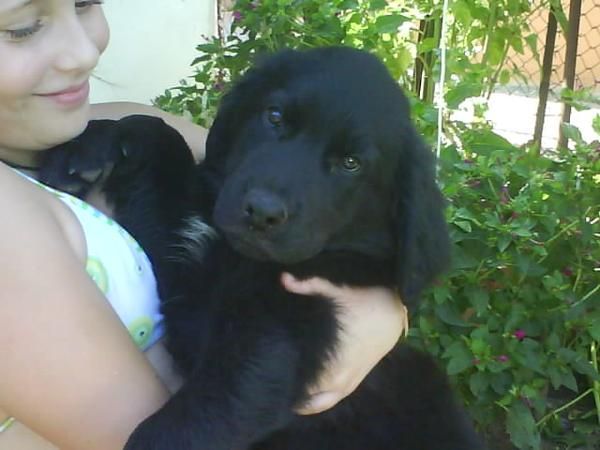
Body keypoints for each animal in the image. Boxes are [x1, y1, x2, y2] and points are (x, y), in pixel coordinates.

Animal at [41, 46, 482, 450]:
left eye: (351, 163)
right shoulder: (178, 256)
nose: (262, 213)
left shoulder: (273, 343)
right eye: (274, 117)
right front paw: (86, 140)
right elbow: (157, 130)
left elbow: (185, 425)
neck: (237, 258)